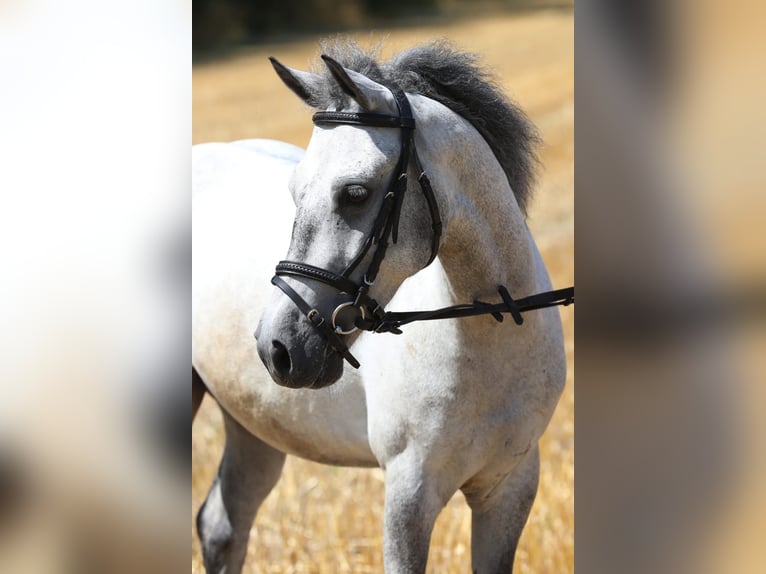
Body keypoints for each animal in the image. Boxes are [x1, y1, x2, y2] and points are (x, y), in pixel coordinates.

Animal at [194, 41, 568, 574]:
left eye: (355, 192)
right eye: (294, 192)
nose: (277, 347)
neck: (492, 337)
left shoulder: (510, 487)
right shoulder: (408, 495)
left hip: (253, 425)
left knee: (224, 527)